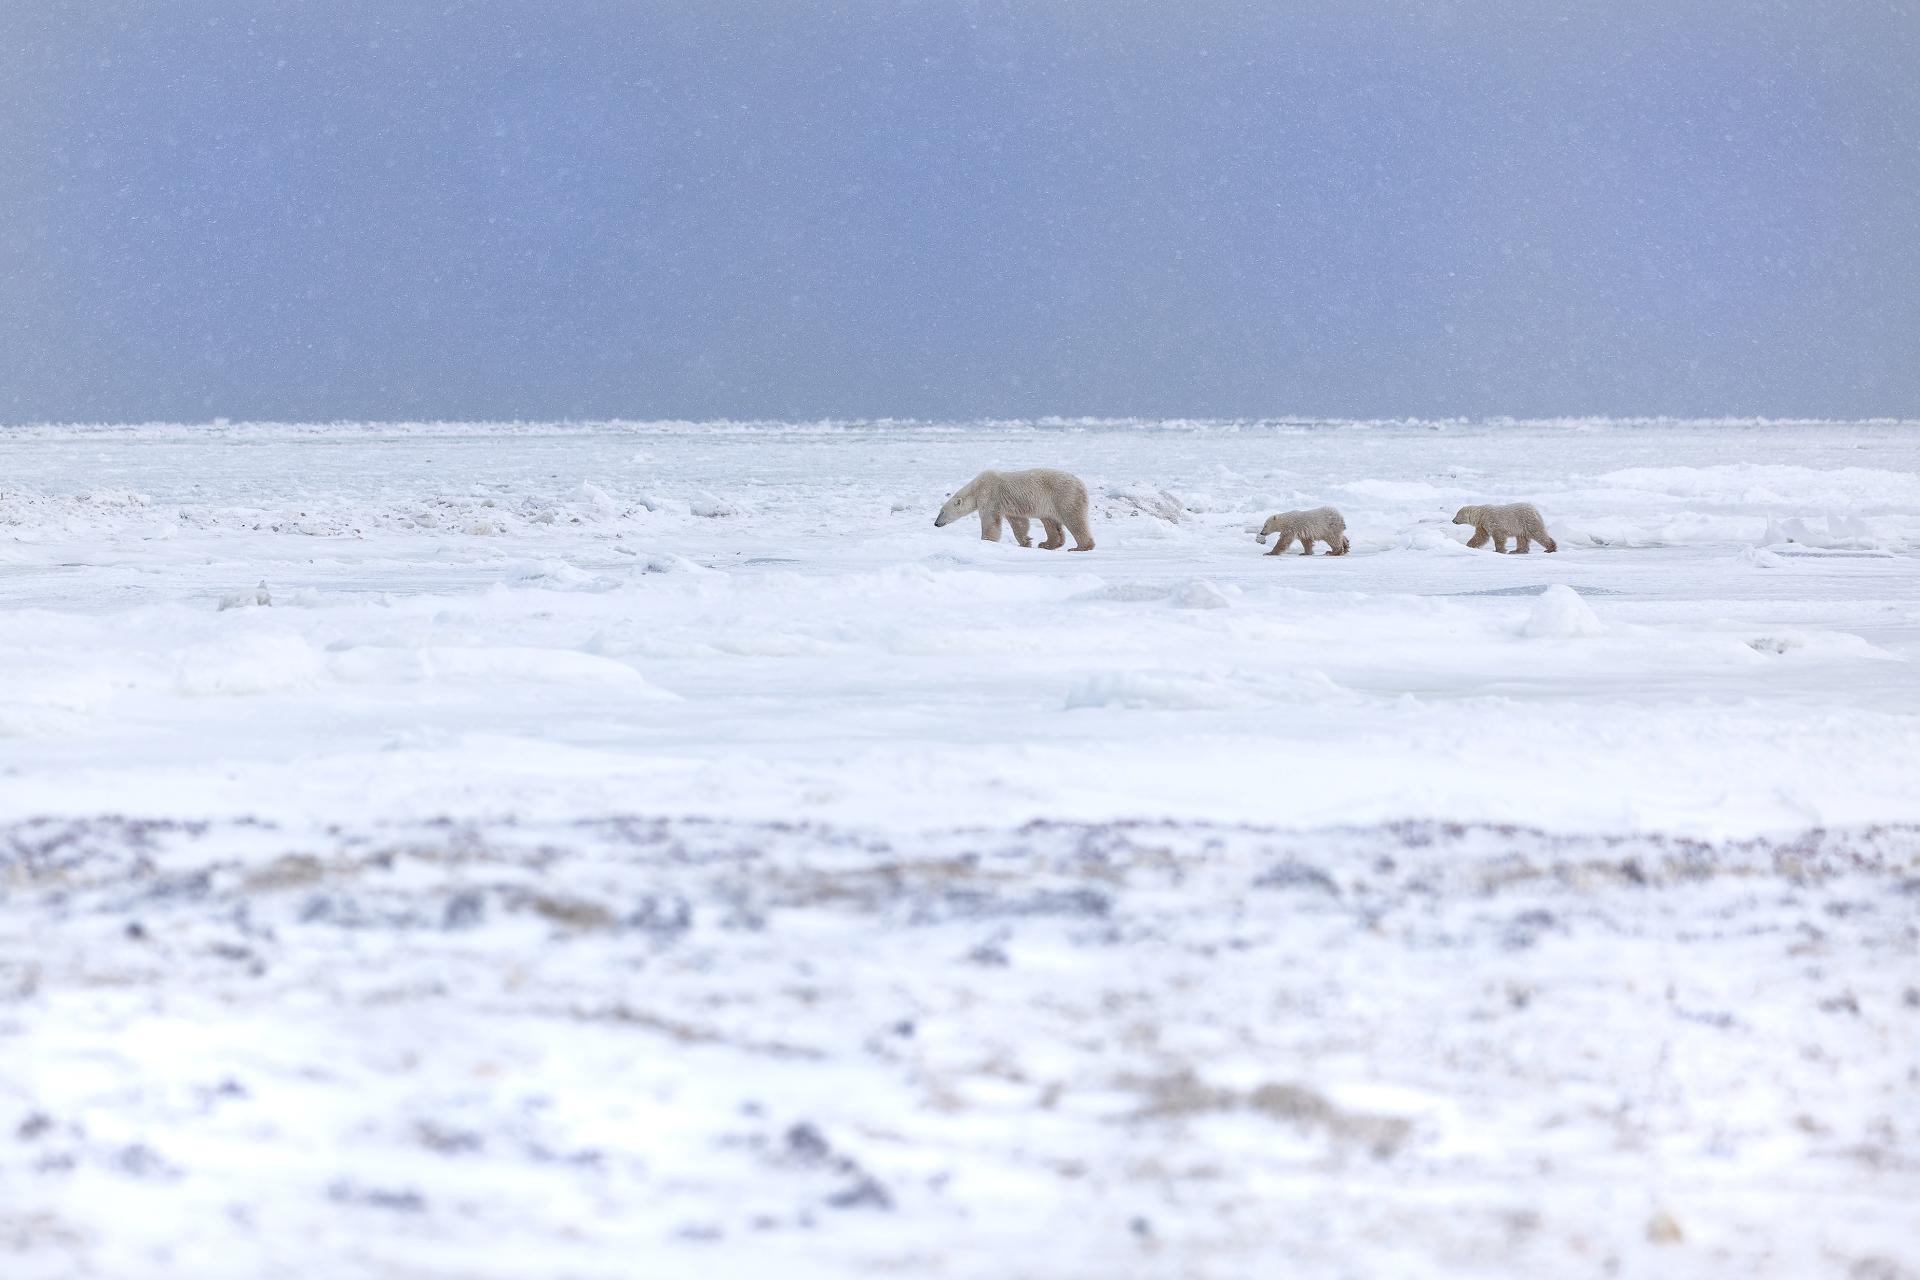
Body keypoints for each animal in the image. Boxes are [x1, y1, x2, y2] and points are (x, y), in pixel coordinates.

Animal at [933, 470, 1098, 552]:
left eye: (942, 512)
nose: (935, 523)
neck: (976, 487)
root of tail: (1081, 484)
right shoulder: (1009, 506)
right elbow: (1019, 522)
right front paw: (1025, 542)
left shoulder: (989, 495)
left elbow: (990, 520)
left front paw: (987, 540)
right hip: (1050, 503)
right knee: (1050, 522)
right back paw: (1046, 544)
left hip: (1064, 496)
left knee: (1074, 519)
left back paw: (1080, 547)